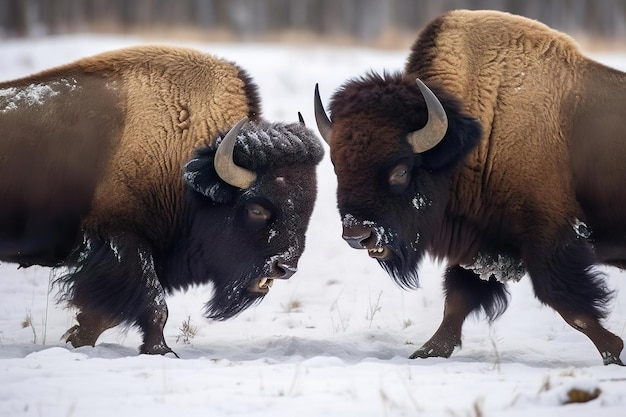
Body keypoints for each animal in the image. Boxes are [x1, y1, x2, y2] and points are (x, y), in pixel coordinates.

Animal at [0, 46, 322, 358]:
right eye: (256, 209)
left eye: (309, 207)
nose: (284, 267)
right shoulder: (122, 241)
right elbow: (154, 306)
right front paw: (161, 352)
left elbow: (107, 314)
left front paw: (77, 340)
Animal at [316, 8, 624, 362]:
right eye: (337, 166)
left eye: (401, 171)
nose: (358, 235)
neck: (476, 135)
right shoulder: (479, 247)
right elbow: (457, 301)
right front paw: (428, 352)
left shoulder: (551, 234)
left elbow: (565, 300)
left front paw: (613, 351)